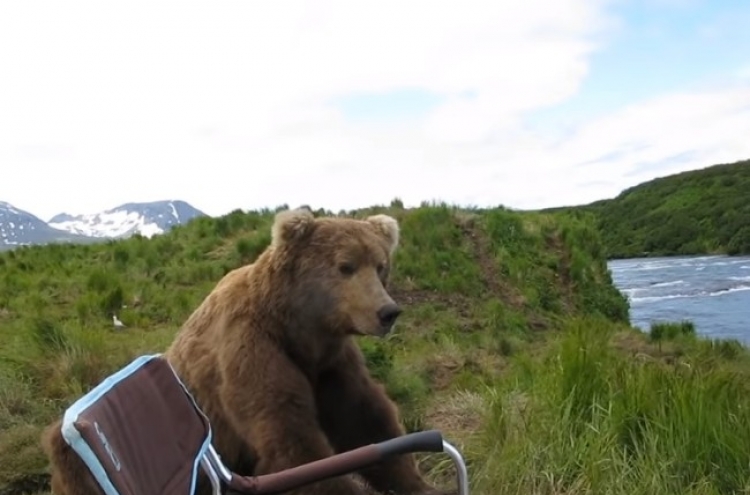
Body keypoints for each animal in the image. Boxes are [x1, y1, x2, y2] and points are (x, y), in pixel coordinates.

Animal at [41, 208, 450, 495]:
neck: (298, 329)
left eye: (380, 266)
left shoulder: (331, 363)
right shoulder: (250, 349)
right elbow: (292, 443)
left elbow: (365, 421)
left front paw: (418, 483)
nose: (387, 312)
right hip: (74, 459)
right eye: (345, 266)